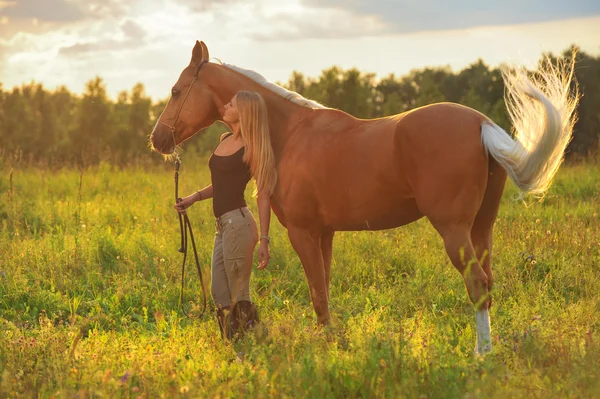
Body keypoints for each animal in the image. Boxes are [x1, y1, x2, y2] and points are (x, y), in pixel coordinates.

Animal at [149, 40, 576, 354]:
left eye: (175, 90)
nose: (158, 139)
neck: (290, 134)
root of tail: (482, 123)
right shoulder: (324, 234)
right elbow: (323, 289)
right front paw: (330, 339)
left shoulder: (302, 232)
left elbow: (318, 294)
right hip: (481, 229)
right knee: (487, 283)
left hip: (454, 231)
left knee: (476, 286)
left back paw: (481, 355)